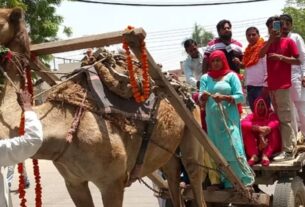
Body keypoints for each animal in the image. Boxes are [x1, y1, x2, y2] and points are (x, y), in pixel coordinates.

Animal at [0, 7, 207, 206]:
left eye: (1, 19)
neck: (62, 125)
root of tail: (183, 90)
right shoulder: (73, 182)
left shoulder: (112, 182)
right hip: (167, 152)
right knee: (173, 178)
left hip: (192, 128)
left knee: (195, 176)